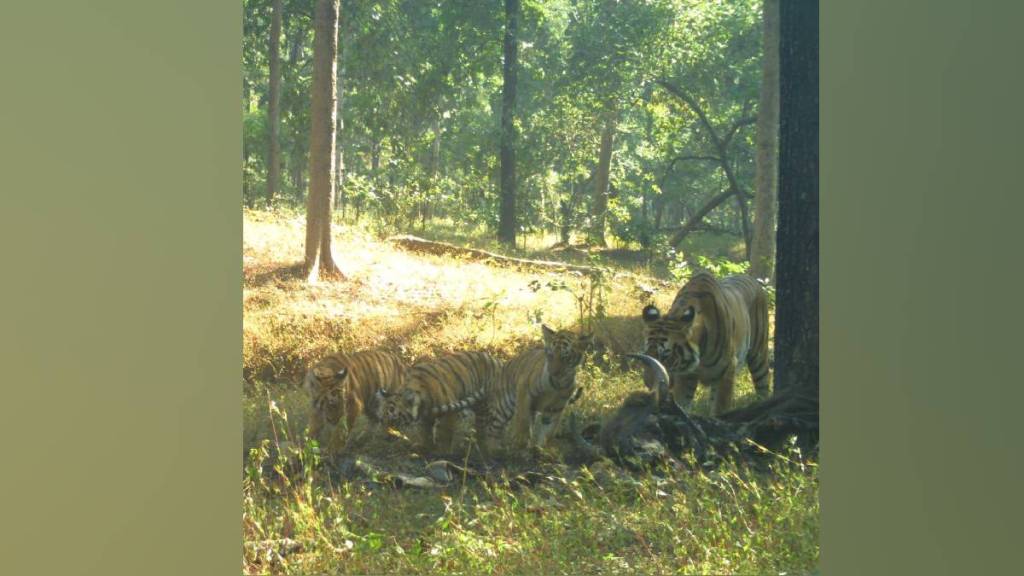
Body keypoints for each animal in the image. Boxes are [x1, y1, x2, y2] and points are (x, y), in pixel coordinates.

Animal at [477, 323, 593, 453]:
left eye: (565, 358)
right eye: (550, 356)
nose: (553, 372)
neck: (558, 384)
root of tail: (500, 369)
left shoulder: (556, 407)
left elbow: (548, 431)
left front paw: (540, 450)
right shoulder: (524, 390)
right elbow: (522, 419)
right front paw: (520, 440)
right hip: (503, 406)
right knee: (492, 429)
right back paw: (493, 450)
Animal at [638, 268, 770, 412]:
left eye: (665, 357)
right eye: (647, 355)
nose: (648, 384)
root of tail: (753, 279)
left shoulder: (727, 370)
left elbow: (720, 409)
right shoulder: (686, 376)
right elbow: (682, 403)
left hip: (758, 356)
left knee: (763, 386)